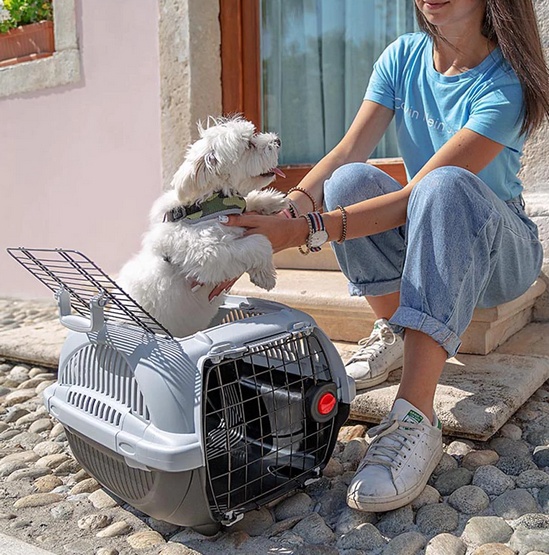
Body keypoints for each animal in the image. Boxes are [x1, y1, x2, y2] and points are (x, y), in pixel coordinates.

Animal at [117, 116, 288, 338]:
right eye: (249, 144)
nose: (277, 140)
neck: (207, 205)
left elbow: (248, 203)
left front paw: (272, 200)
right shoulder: (210, 253)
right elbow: (260, 243)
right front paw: (265, 276)